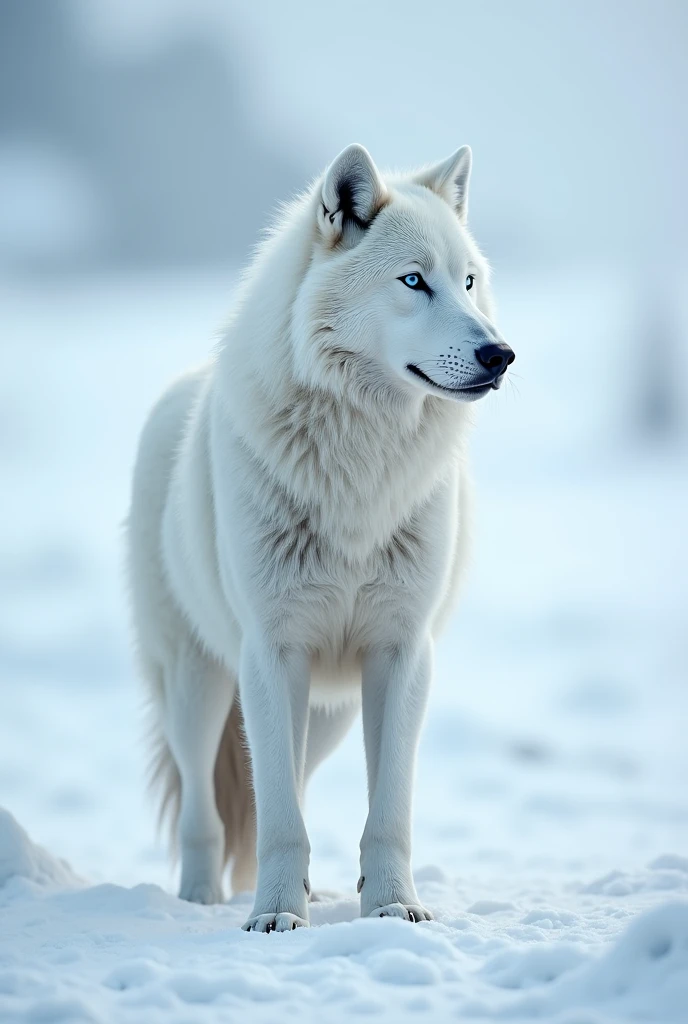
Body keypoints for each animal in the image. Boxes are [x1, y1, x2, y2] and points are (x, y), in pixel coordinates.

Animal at [127, 140, 516, 933]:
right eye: (413, 281)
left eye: (467, 282)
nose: (501, 354)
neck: (361, 472)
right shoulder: (271, 652)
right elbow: (276, 819)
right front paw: (275, 919)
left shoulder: (401, 653)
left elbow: (386, 811)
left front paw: (393, 906)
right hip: (199, 688)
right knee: (206, 809)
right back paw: (199, 900)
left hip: (328, 709)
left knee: (288, 788)